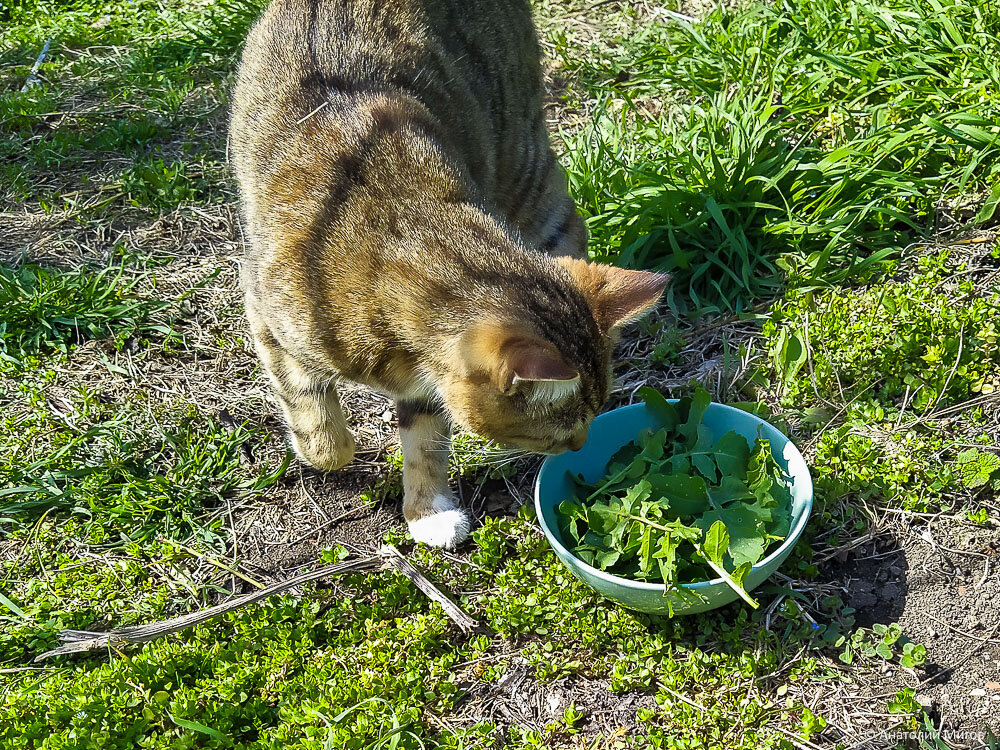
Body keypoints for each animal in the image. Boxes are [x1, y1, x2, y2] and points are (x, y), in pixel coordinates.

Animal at [230, 0, 668, 548]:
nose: (581, 445)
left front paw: (427, 511)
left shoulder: (427, 379)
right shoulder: (264, 310)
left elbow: (425, 440)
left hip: (530, 175)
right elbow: (323, 435)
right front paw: (332, 450)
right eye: (559, 432)